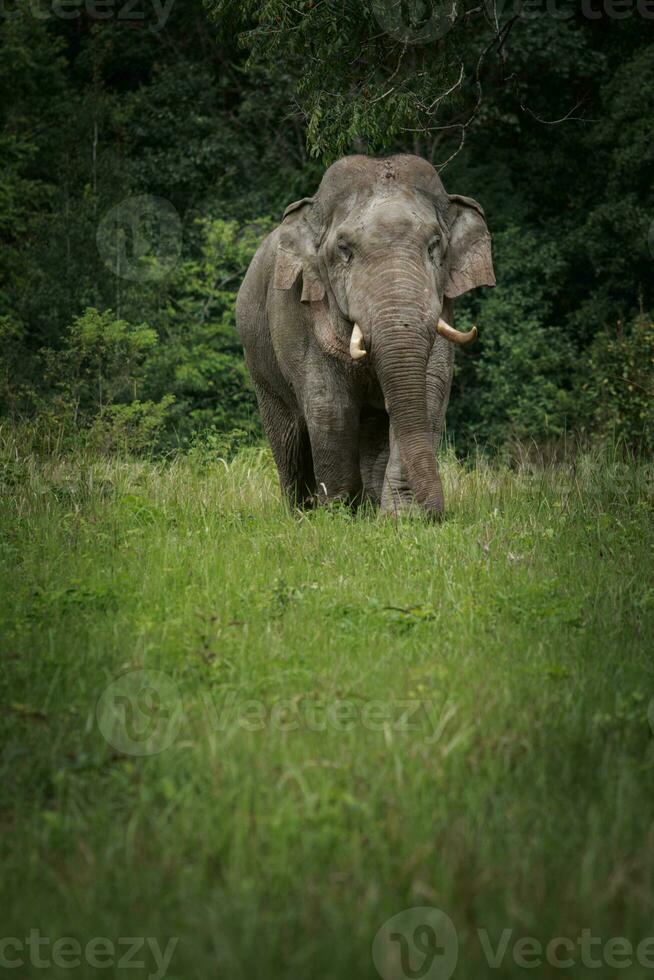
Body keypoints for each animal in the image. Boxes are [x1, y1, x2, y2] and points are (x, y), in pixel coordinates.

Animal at [237, 153, 498, 516]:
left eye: (435, 245)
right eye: (344, 249)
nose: (437, 511)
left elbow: (429, 391)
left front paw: (402, 516)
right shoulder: (300, 314)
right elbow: (329, 404)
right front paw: (339, 514)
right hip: (259, 362)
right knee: (288, 437)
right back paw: (302, 512)